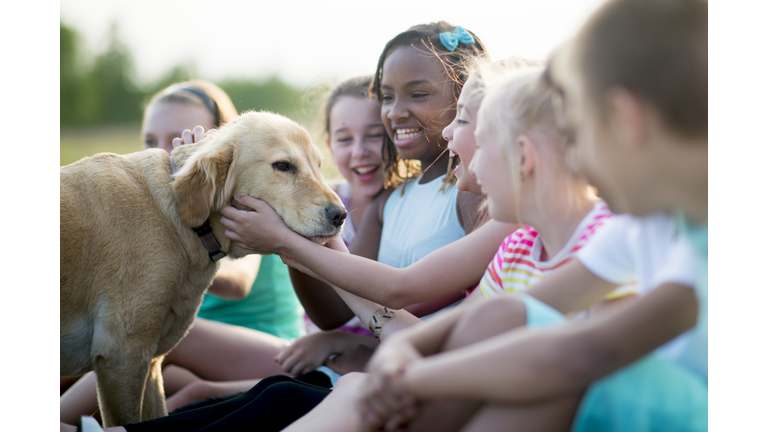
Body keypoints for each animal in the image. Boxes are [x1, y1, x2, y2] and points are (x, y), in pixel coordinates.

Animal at [59, 111, 344, 426]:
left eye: (318, 166)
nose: (341, 215)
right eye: (283, 166)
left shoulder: (148, 363)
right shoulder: (121, 357)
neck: (178, 218)